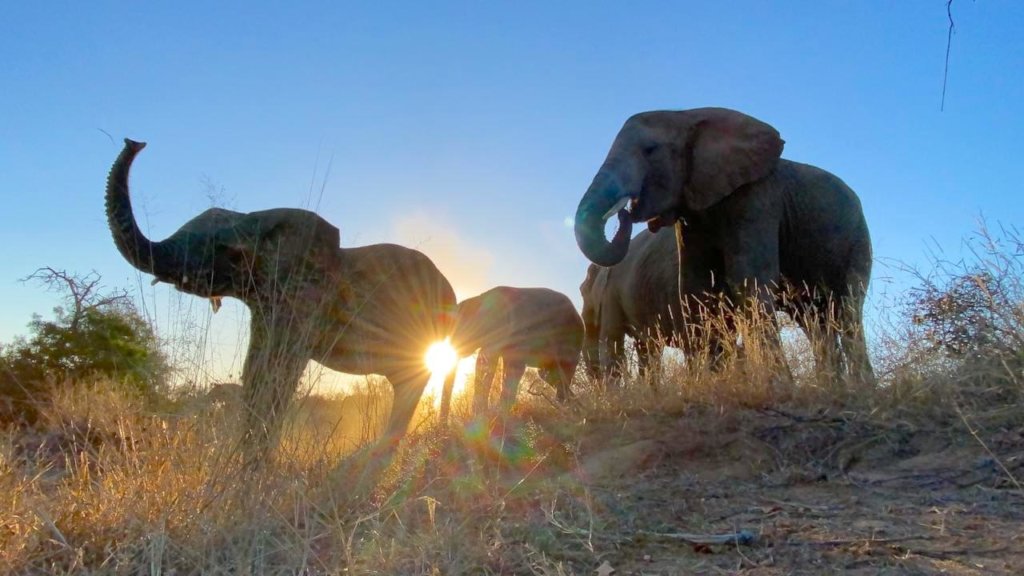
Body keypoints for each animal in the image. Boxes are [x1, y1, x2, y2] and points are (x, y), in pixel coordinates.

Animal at [106, 139, 457, 457]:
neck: (259, 218)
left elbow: (278, 370)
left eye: (226, 251)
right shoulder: (267, 302)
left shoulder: (303, 300)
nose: (135, 142)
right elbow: (256, 368)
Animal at [439, 286, 584, 422]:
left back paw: (566, 411)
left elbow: (507, 366)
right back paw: (574, 408)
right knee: (547, 375)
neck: (480, 298)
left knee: (561, 372)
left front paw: (497, 417)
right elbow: (486, 363)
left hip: (570, 338)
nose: (443, 426)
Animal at [574, 108, 875, 385]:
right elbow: (697, 292)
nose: (625, 213)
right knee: (814, 320)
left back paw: (860, 387)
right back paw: (833, 385)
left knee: (848, 309)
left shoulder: (756, 197)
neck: (686, 115)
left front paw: (777, 384)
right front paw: (712, 381)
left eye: (650, 150)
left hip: (857, 238)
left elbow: (749, 280)